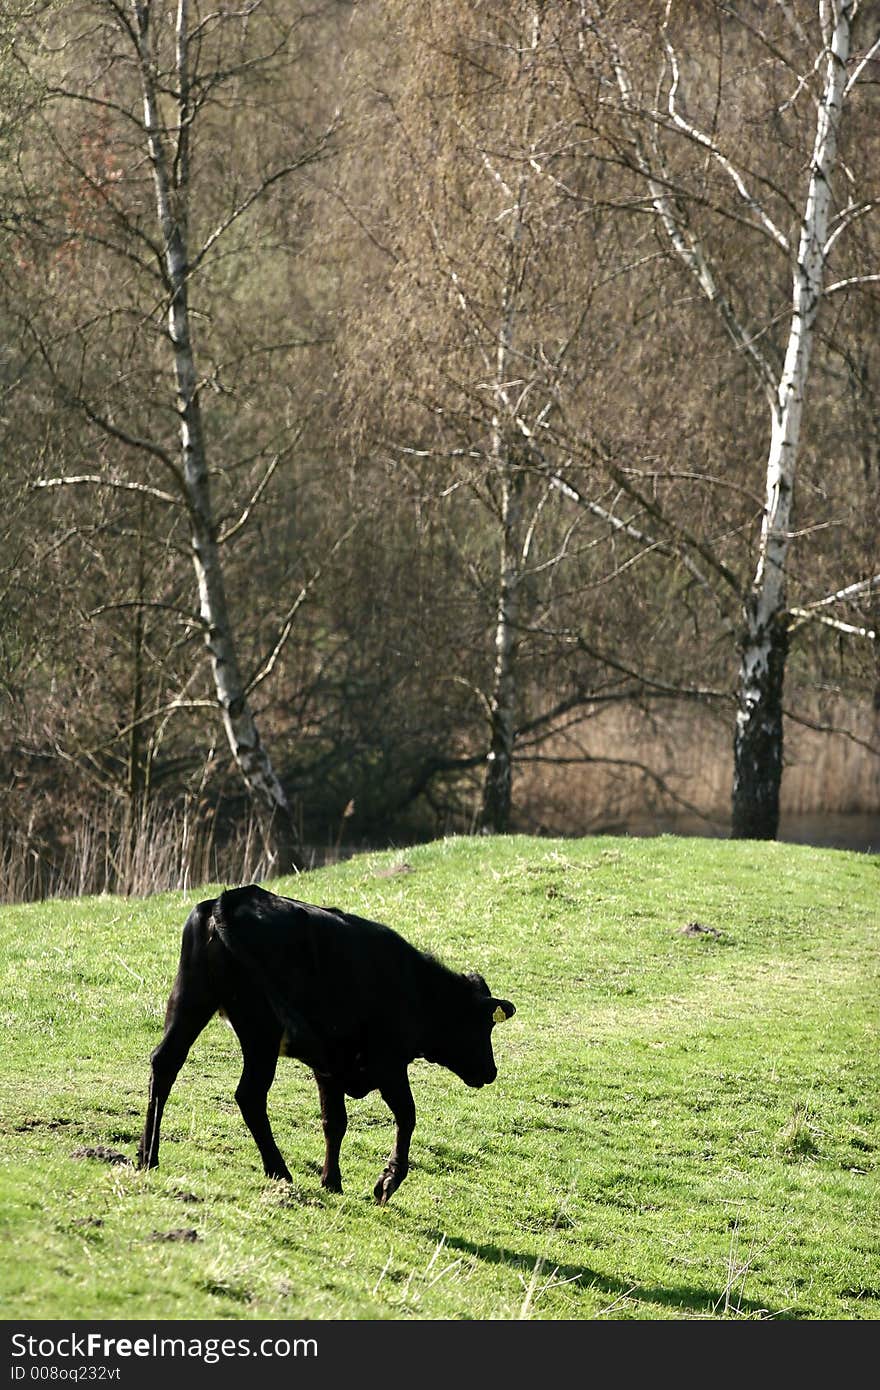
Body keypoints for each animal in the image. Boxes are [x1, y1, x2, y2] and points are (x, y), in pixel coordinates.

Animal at [137, 884, 514, 1200]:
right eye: (482, 1026)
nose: (491, 1071)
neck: (416, 987)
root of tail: (229, 899)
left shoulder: (329, 1066)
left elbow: (335, 1122)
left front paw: (332, 1181)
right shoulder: (388, 1062)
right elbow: (407, 1115)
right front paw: (387, 1182)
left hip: (191, 998)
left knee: (165, 1063)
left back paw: (148, 1156)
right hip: (260, 1031)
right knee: (249, 1095)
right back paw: (279, 1170)